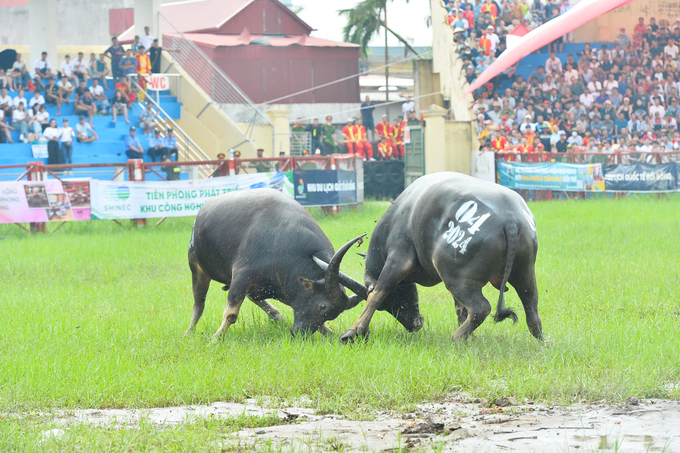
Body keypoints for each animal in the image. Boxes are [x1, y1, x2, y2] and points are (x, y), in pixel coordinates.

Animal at [186, 188, 366, 340]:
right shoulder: (241, 276)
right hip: (197, 270)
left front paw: (329, 332)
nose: (299, 333)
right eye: (323, 306)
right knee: (198, 304)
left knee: (254, 297)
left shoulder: (282, 289)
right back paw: (189, 331)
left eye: (333, 314)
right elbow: (231, 314)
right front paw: (215, 338)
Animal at [342, 172, 544, 342]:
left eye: (388, 304)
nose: (415, 324)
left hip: (455, 276)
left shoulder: (398, 259)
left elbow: (377, 293)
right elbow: (460, 308)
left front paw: (354, 330)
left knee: (481, 308)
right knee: (531, 307)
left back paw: (458, 337)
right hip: (524, 271)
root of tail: (510, 221)